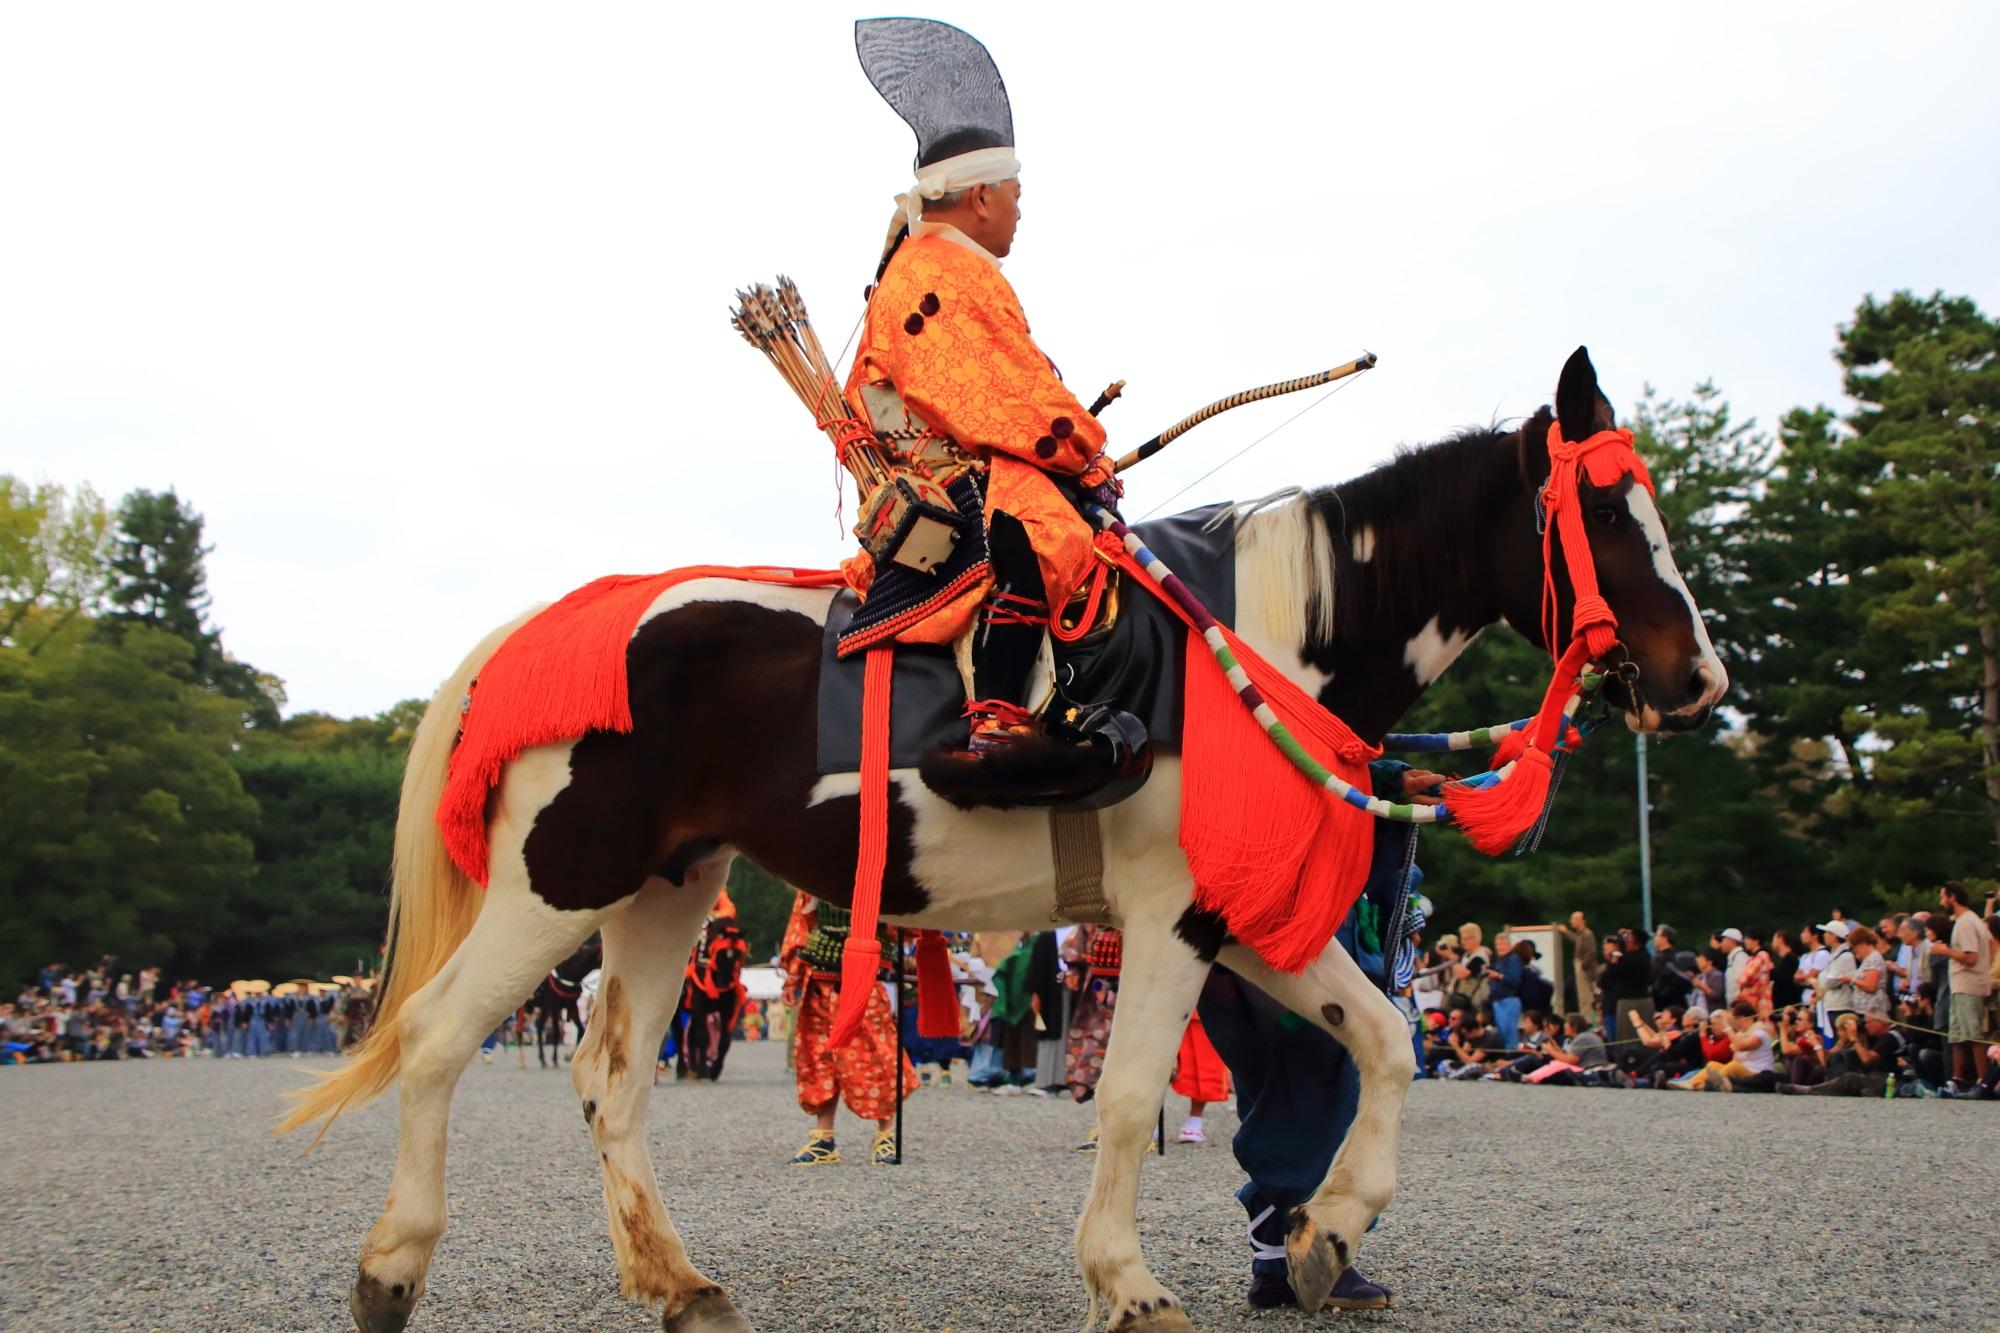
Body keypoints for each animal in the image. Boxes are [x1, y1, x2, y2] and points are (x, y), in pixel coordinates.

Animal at [292, 348, 1720, 1320]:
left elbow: (1382, 1041)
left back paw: (677, 1280)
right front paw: (1126, 1280)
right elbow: (1132, 1093)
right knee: (435, 1041)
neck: (1262, 640)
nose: (1695, 679)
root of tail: (547, 628)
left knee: (613, 1078)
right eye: (1608, 516)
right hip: (557, 880)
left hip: (662, 889)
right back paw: (391, 1267)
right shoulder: (1175, 918)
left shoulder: (1239, 917)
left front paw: (1325, 1236)